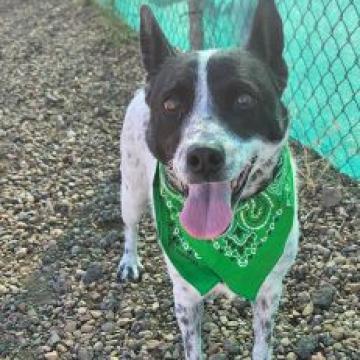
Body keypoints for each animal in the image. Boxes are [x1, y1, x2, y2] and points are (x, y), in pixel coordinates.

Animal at [117, 1, 298, 358]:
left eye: (244, 100)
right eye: (171, 104)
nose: (202, 156)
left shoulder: (270, 291)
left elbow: (262, 343)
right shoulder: (185, 297)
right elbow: (193, 346)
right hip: (131, 191)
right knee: (130, 226)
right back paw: (129, 260)